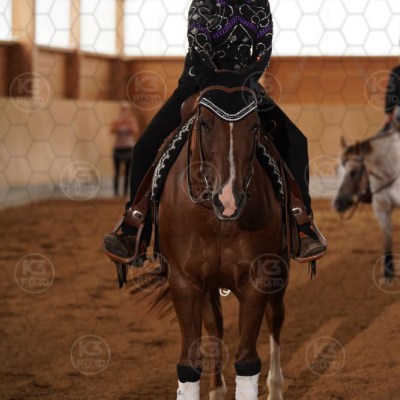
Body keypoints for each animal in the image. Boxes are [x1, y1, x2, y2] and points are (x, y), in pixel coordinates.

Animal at [140, 60, 290, 400]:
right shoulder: (185, 282)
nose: (229, 200)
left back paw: (276, 388)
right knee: (215, 328)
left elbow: (247, 362)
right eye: (205, 124)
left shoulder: (258, 278)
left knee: (276, 320)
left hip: (280, 272)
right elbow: (189, 364)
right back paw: (218, 390)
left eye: (255, 126)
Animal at [332, 124, 400, 277]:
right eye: (337, 170)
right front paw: (388, 273)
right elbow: (387, 238)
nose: (337, 204)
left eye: (353, 172)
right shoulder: (381, 207)